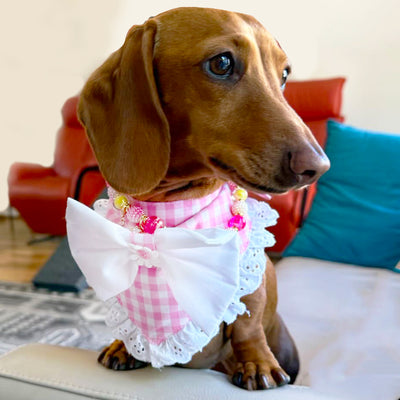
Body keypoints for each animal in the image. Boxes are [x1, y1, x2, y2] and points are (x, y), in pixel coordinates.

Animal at [76, 6, 330, 390]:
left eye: (284, 74)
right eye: (221, 63)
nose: (318, 167)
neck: (172, 207)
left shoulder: (251, 279)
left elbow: (248, 322)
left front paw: (257, 363)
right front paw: (124, 345)